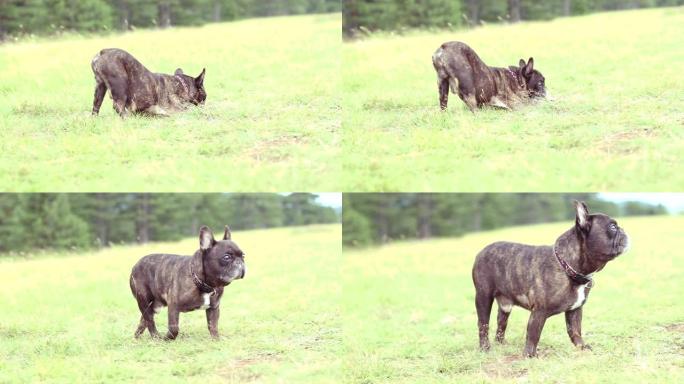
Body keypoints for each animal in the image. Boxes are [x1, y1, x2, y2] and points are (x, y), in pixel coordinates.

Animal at [472, 201, 628, 356]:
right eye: (613, 227)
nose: (624, 231)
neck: (567, 266)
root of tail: (481, 252)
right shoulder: (539, 312)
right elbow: (533, 334)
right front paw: (530, 355)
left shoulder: (575, 310)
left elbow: (575, 330)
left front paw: (582, 347)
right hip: (483, 296)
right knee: (483, 324)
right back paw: (485, 348)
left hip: (506, 305)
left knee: (501, 321)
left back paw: (501, 344)